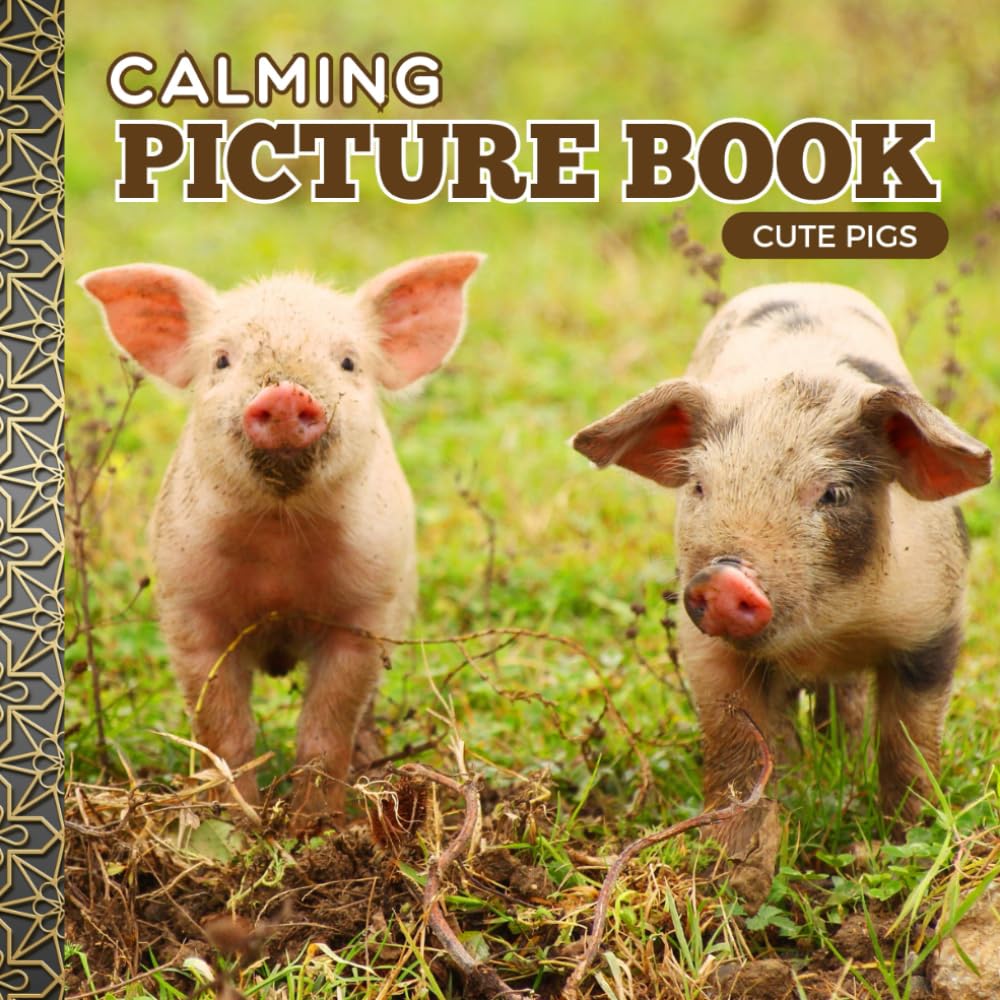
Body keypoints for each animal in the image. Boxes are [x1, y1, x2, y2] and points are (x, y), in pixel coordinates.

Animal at [80, 253, 483, 829]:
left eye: (348, 362)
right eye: (222, 360)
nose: (286, 393)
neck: (279, 546)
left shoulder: (365, 614)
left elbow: (324, 730)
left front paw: (316, 827)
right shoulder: (189, 609)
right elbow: (224, 731)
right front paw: (237, 824)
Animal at [573, 283, 991, 900]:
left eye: (834, 493)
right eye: (700, 486)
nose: (725, 576)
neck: (825, 631)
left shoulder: (934, 620)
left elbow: (910, 744)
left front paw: (903, 844)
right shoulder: (706, 648)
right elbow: (737, 751)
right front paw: (737, 875)